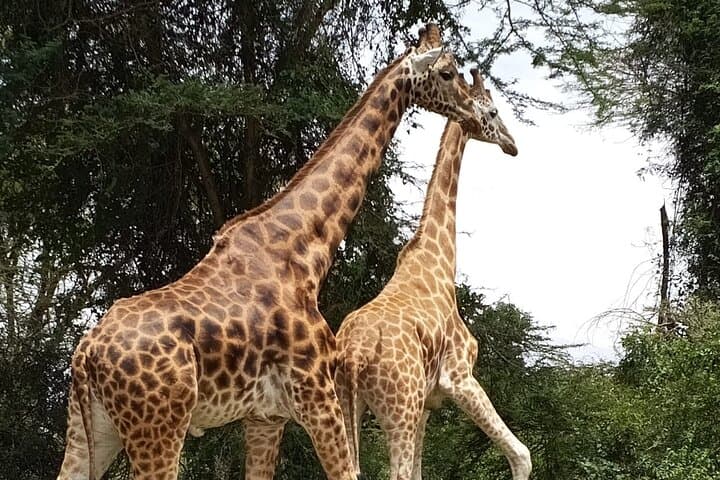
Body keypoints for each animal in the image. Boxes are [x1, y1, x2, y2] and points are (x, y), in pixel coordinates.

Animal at [56, 24, 498, 480]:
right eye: (447, 72)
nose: (477, 114)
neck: (304, 251)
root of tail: (86, 354)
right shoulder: (317, 395)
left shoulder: (266, 416)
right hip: (158, 426)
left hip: (91, 428)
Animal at [334, 69, 531, 480]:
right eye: (493, 111)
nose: (512, 144)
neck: (439, 259)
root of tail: (356, 354)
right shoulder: (459, 377)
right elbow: (521, 455)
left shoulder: (427, 403)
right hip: (398, 410)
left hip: (349, 403)